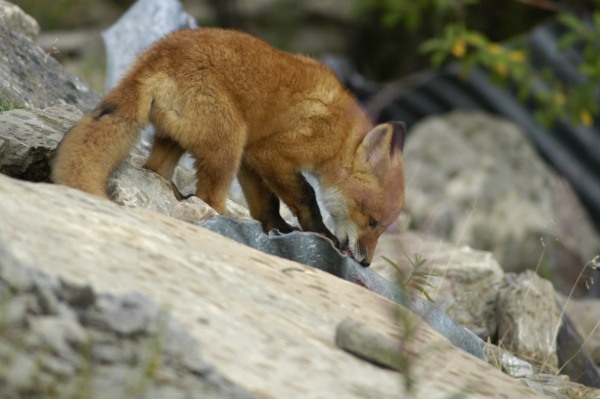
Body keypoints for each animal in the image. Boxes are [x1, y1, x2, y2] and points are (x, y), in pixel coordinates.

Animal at [51, 27, 406, 266]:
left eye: (381, 229)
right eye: (373, 223)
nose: (365, 263)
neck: (342, 134)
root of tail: (153, 58)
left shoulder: (251, 158)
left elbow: (267, 204)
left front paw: (275, 230)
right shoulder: (270, 152)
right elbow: (305, 197)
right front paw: (319, 234)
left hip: (183, 141)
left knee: (158, 171)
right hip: (228, 142)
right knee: (209, 197)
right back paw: (222, 222)